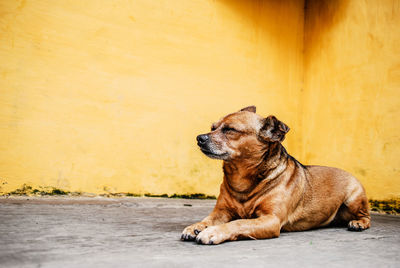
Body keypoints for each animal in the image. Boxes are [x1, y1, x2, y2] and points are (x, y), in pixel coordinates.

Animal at [180, 105, 368, 244]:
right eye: (213, 128)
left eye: (230, 130)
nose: (199, 138)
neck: (241, 178)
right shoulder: (222, 212)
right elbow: (208, 219)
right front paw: (197, 226)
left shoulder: (271, 219)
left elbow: (239, 223)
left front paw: (213, 232)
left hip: (353, 199)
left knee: (365, 216)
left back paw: (358, 223)